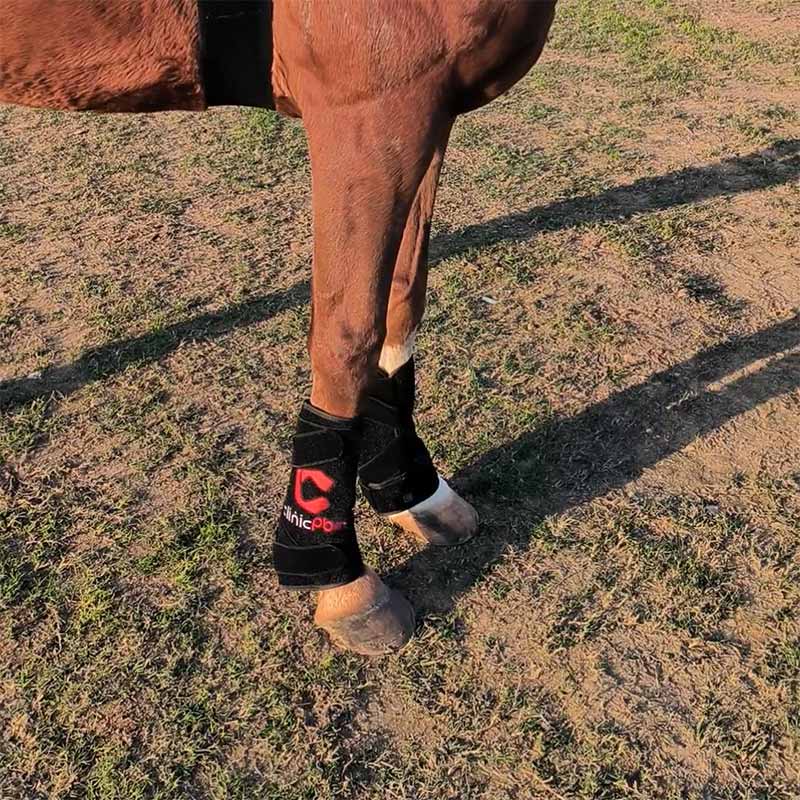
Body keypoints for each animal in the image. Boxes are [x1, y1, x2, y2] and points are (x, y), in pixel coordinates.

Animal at [1, 0, 558, 655]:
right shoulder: (367, 116)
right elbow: (348, 332)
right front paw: (340, 581)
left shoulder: (427, 112)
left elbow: (401, 302)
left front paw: (412, 491)